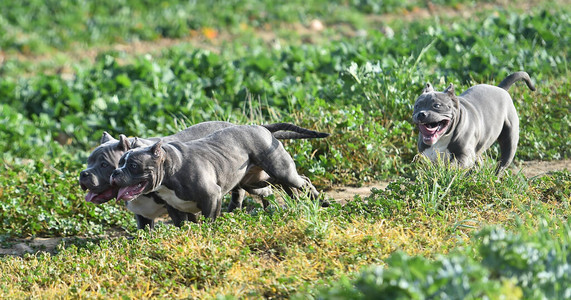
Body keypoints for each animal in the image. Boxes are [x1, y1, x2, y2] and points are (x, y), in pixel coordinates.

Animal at [80, 120, 330, 229]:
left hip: (276, 170)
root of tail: (261, 127)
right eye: (88, 161)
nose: (83, 174)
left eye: (104, 164)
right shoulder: (148, 216)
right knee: (269, 189)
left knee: (299, 181)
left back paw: (318, 201)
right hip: (256, 178)